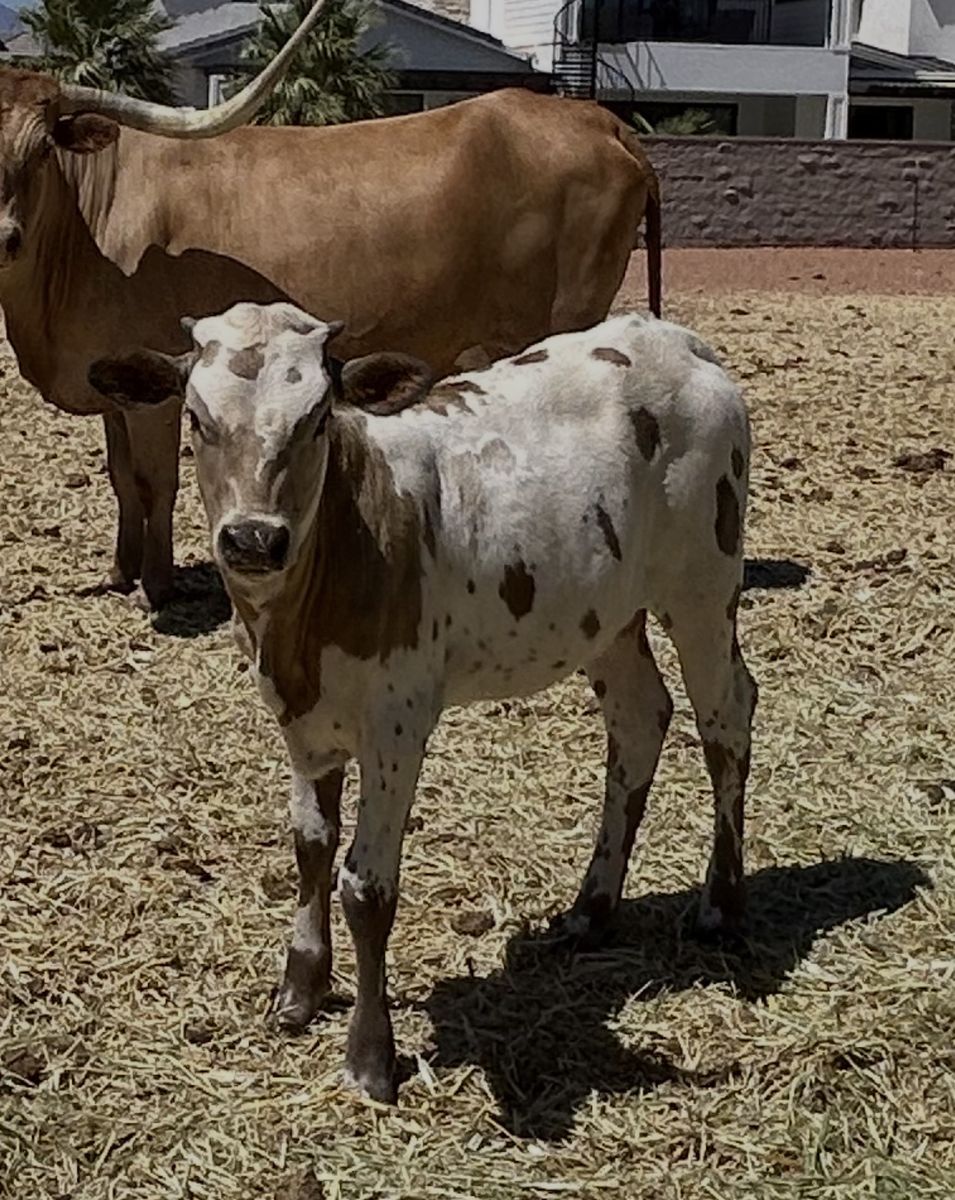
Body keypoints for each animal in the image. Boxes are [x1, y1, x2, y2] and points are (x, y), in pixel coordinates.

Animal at [0, 49, 662, 612]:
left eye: (41, 149)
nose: (3, 236)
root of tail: (597, 118)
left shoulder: (158, 400)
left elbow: (153, 481)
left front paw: (155, 588)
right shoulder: (119, 386)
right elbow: (121, 480)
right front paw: (121, 571)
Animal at [89, 300, 756, 1105]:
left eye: (318, 417)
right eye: (196, 417)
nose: (252, 538)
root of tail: (674, 338)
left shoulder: (397, 722)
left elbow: (367, 886)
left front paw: (371, 1056)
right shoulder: (300, 720)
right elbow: (311, 846)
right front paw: (300, 989)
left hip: (703, 585)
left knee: (726, 717)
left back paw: (720, 903)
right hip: (608, 614)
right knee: (638, 719)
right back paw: (591, 909)